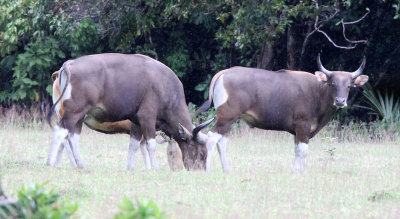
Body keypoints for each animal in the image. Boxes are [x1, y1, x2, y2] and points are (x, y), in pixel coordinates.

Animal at [197, 54, 368, 173]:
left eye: (348, 86)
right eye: (332, 83)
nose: (340, 101)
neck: (318, 92)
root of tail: (224, 73)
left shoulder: (297, 131)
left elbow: (297, 150)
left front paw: (295, 172)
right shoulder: (303, 126)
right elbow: (303, 151)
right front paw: (303, 172)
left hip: (229, 119)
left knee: (222, 141)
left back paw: (227, 170)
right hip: (226, 117)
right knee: (211, 137)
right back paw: (208, 169)